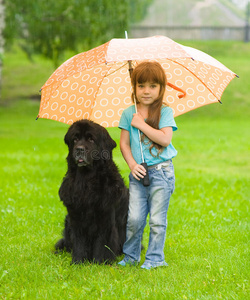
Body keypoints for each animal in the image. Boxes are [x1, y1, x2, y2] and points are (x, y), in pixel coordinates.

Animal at [55, 118, 129, 264]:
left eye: (91, 139)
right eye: (75, 139)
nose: (79, 149)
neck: (86, 180)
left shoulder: (106, 216)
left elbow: (103, 242)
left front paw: (100, 262)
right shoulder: (75, 216)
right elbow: (79, 241)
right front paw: (77, 262)